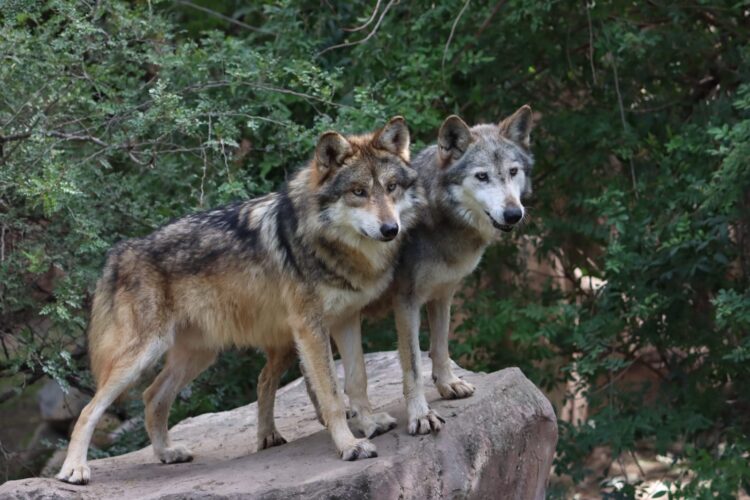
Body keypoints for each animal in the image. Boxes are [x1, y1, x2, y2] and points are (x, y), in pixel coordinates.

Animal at [56, 117, 422, 485]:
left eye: (391, 187)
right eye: (358, 192)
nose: (390, 229)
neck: (330, 243)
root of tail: (120, 252)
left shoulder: (346, 319)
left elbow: (357, 379)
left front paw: (370, 424)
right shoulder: (310, 328)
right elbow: (332, 395)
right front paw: (350, 446)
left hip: (199, 355)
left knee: (152, 396)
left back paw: (166, 454)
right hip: (140, 356)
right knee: (90, 409)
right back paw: (74, 469)